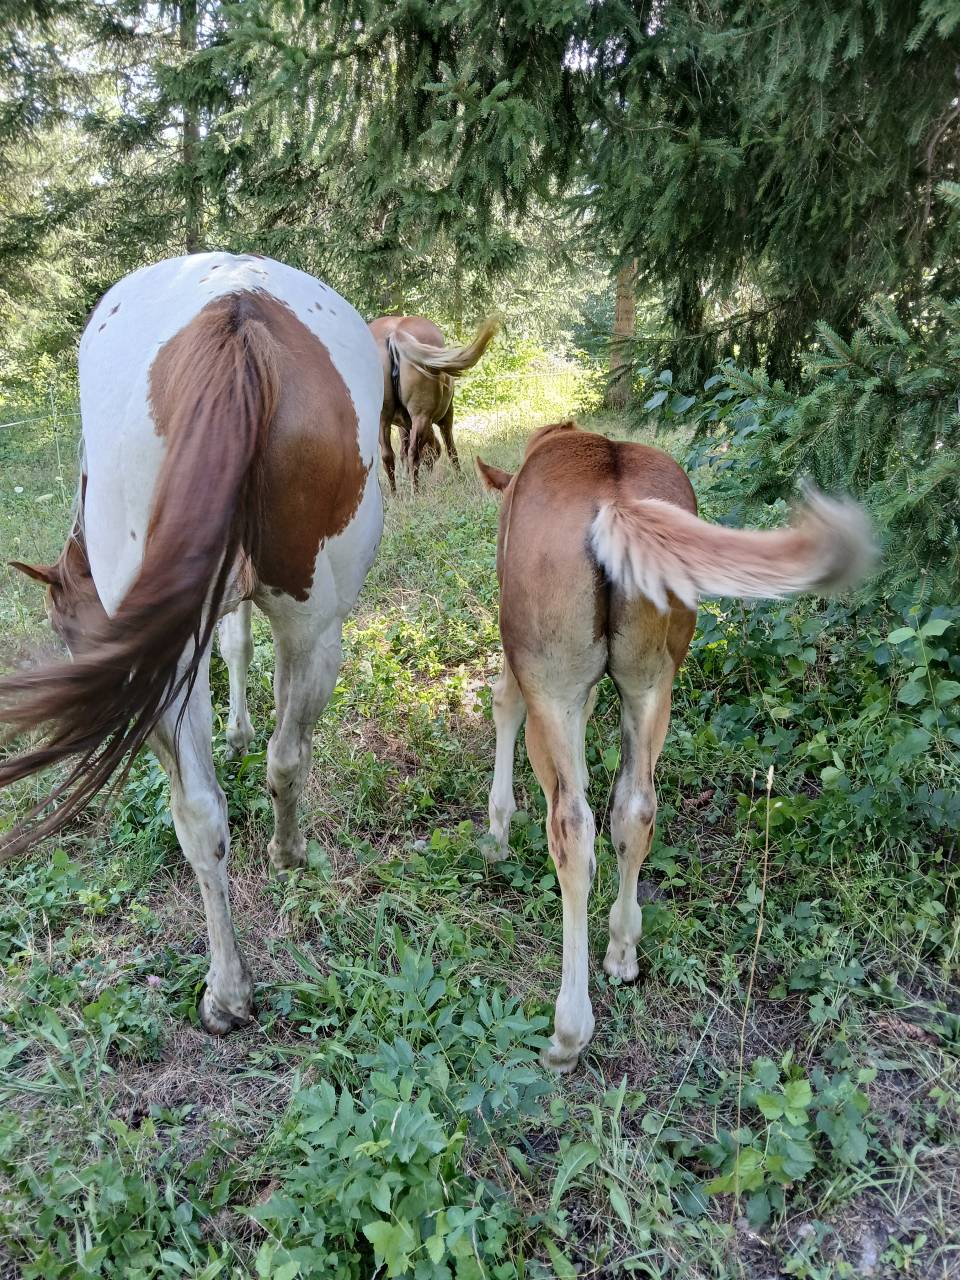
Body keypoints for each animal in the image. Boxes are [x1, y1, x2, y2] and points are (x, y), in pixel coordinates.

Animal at [1, 251, 384, 1034]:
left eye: (60, 625)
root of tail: (235, 314)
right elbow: (241, 662)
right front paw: (238, 735)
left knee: (220, 795)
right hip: (312, 625)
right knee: (269, 769)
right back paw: (262, 915)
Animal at [368, 315, 497, 491]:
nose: (428, 471)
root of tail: (396, 334)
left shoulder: (403, 425)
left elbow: (402, 451)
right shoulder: (446, 417)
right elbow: (451, 448)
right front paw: (460, 477)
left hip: (383, 420)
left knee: (388, 456)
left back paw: (395, 494)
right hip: (421, 416)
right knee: (413, 453)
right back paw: (415, 492)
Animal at [476, 421, 874, 1072]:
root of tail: (615, 503)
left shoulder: (530, 672)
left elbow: (503, 703)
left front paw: (496, 834)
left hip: (554, 682)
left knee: (573, 826)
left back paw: (568, 1032)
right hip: (653, 681)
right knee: (635, 809)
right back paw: (622, 951)